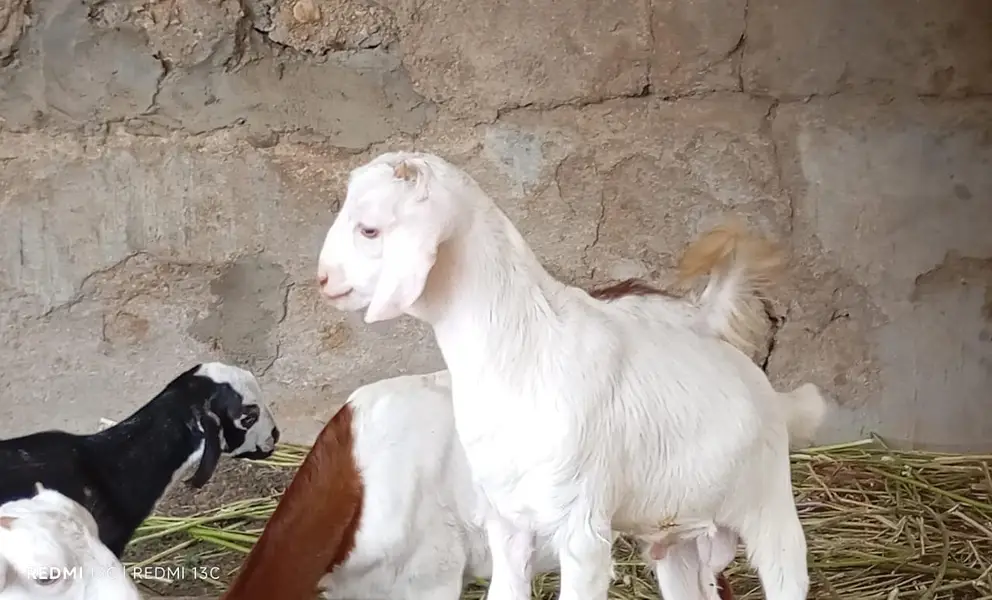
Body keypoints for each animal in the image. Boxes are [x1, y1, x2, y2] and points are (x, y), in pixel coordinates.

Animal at [316, 152, 825, 600]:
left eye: (369, 229)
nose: (323, 279)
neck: (525, 351)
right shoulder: (507, 521)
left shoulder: (582, 528)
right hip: (678, 537)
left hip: (769, 505)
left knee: (787, 576)